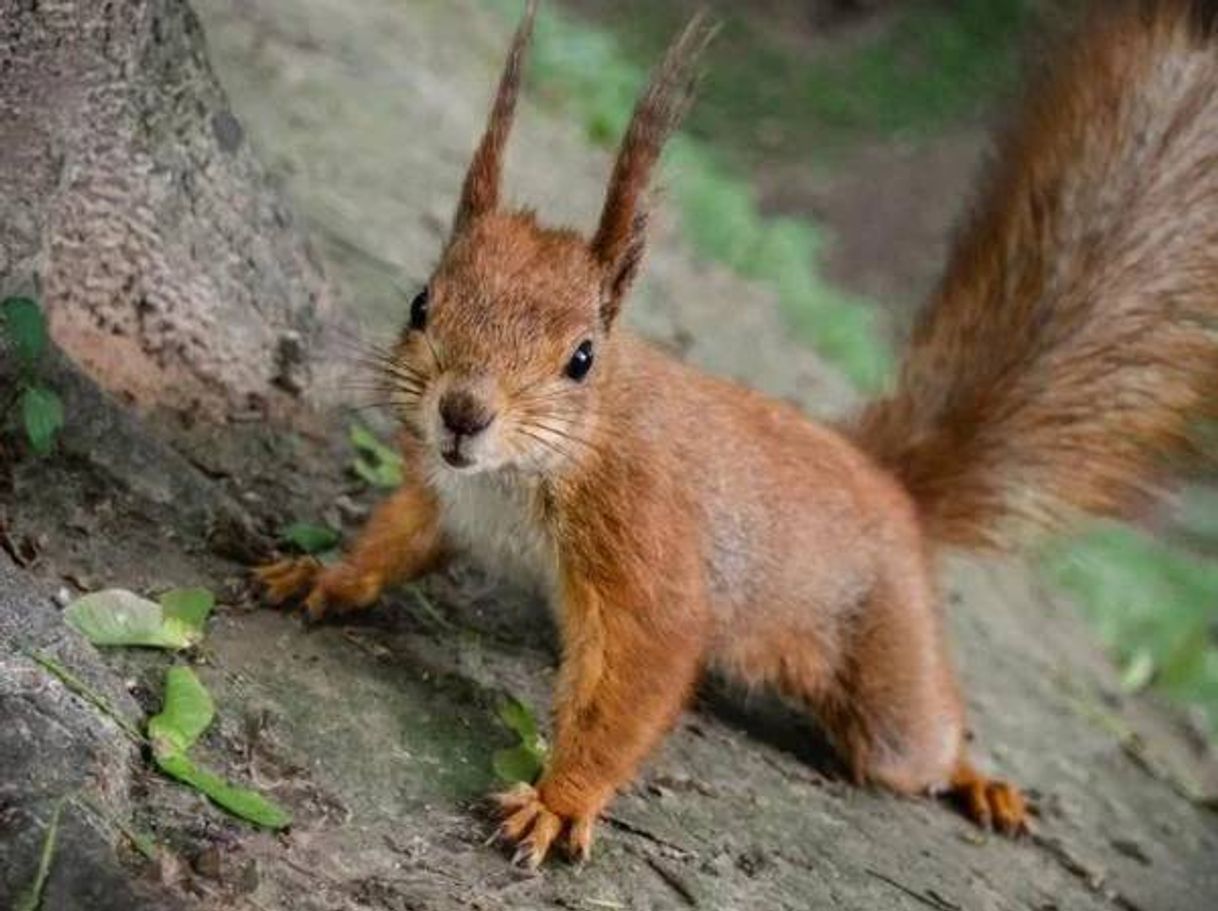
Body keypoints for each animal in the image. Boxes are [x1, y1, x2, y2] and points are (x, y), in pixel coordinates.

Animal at [254, 0, 1218, 867]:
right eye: (422, 303)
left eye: (581, 358)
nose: (462, 412)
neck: (519, 474)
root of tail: (888, 482)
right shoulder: (444, 500)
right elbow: (392, 539)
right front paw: (325, 575)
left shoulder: (649, 547)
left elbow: (638, 680)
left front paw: (560, 802)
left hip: (888, 669)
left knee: (924, 740)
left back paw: (981, 780)